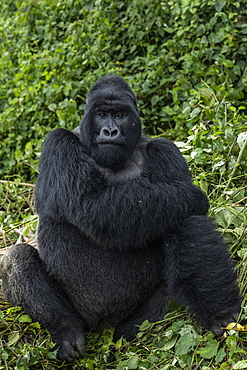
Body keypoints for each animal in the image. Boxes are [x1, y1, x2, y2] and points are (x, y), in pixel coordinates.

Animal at [0, 74, 240, 362]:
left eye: (120, 115)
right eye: (102, 114)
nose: (110, 131)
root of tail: (101, 326)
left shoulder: (165, 149)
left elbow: (182, 216)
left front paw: (221, 312)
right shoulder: (58, 142)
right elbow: (94, 203)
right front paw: (190, 196)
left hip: (134, 320)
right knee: (16, 258)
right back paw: (66, 329)